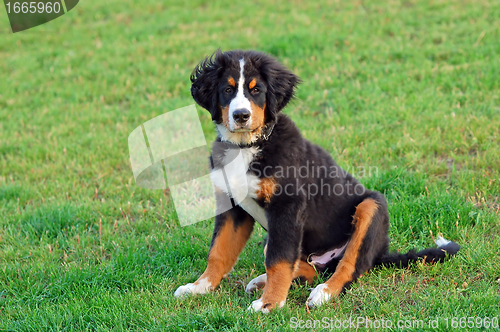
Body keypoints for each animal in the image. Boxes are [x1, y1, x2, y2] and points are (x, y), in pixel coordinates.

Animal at [174, 48, 458, 312]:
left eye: (256, 91)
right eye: (227, 89)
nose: (241, 116)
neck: (247, 146)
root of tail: (381, 253)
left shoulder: (287, 206)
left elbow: (278, 260)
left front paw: (269, 304)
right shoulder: (231, 204)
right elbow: (219, 251)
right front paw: (199, 287)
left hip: (370, 206)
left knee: (349, 266)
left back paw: (324, 292)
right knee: (307, 268)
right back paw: (262, 281)